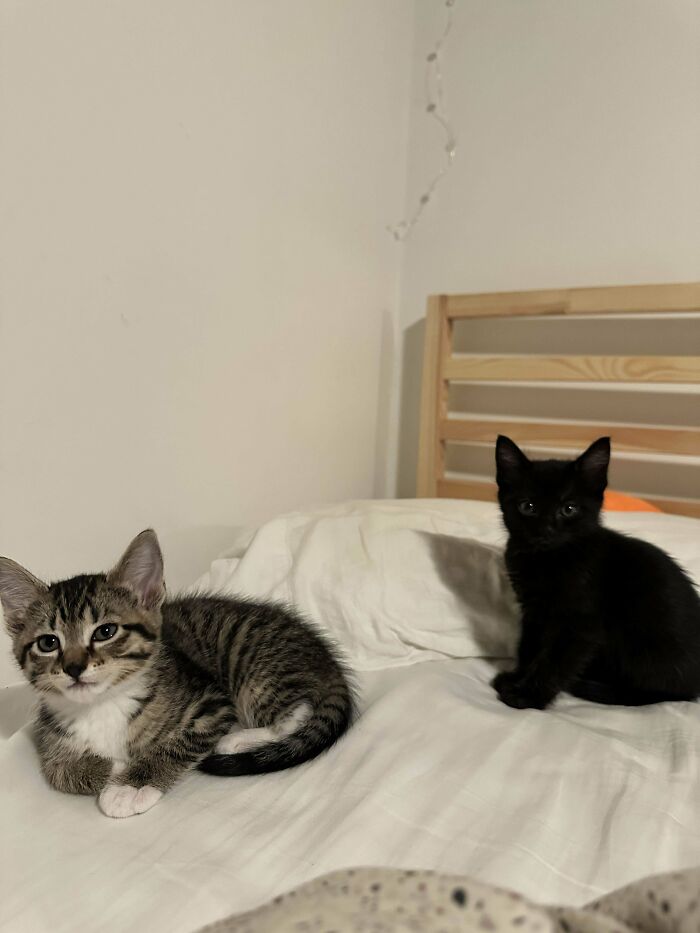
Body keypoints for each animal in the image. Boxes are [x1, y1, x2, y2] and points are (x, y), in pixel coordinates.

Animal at [0, 532, 350, 816]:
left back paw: (236, 740)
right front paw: (112, 768)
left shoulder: (212, 702)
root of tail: (326, 658)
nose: (73, 668)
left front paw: (131, 785)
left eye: (105, 632)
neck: (101, 706)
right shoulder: (49, 734)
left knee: (298, 711)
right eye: (48, 643)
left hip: (256, 669)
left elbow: (177, 743)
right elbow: (57, 772)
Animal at [492, 436, 700, 708]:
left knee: (668, 694)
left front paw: (528, 695)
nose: (546, 529)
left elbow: (554, 660)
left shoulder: (581, 624)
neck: (548, 559)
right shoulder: (534, 610)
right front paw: (517, 677)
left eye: (569, 509)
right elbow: (530, 645)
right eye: (528, 507)